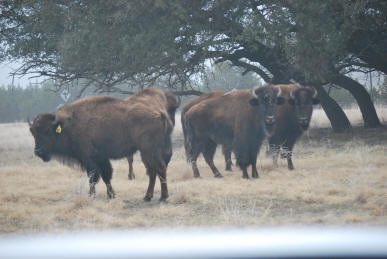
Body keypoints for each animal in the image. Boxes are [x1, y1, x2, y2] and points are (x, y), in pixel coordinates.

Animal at [30, 95, 174, 201]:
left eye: (47, 131)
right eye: (33, 132)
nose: (38, 151)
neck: (69, 124)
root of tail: (159, 113)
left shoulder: (89, 159)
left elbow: (93, 177)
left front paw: (91, 195)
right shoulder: (101, 158)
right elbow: (106, 176)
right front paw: (111, 195)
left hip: (148, 150)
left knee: (159, 168)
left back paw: (162, 197)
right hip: (149, 152)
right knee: (154, 170)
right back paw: (148, 197)